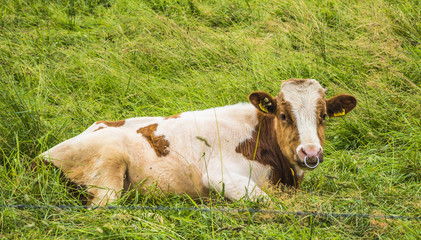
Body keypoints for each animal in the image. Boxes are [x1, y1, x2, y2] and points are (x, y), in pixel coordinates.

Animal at [39, 79, 356, 206]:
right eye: (283, 115)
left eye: (323, 116)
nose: (310, 152)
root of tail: (42, 155)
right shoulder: (218, 175)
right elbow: (269, 202)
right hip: (108, 165)